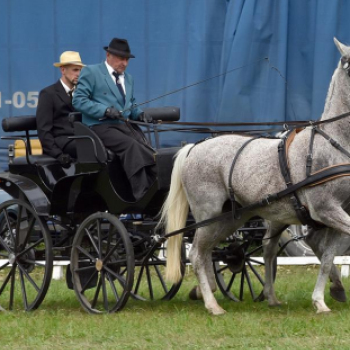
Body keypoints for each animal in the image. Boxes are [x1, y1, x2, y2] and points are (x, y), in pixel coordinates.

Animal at [159, 38, 350, 314]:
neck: (334, 141)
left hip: (231, 218)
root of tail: (194, 147)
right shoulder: (326, 210)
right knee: (196, 253)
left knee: (211, 252)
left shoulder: (335, 213)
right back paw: (212, 304)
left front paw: (322, 300)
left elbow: (326, 259)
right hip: (207, 214)